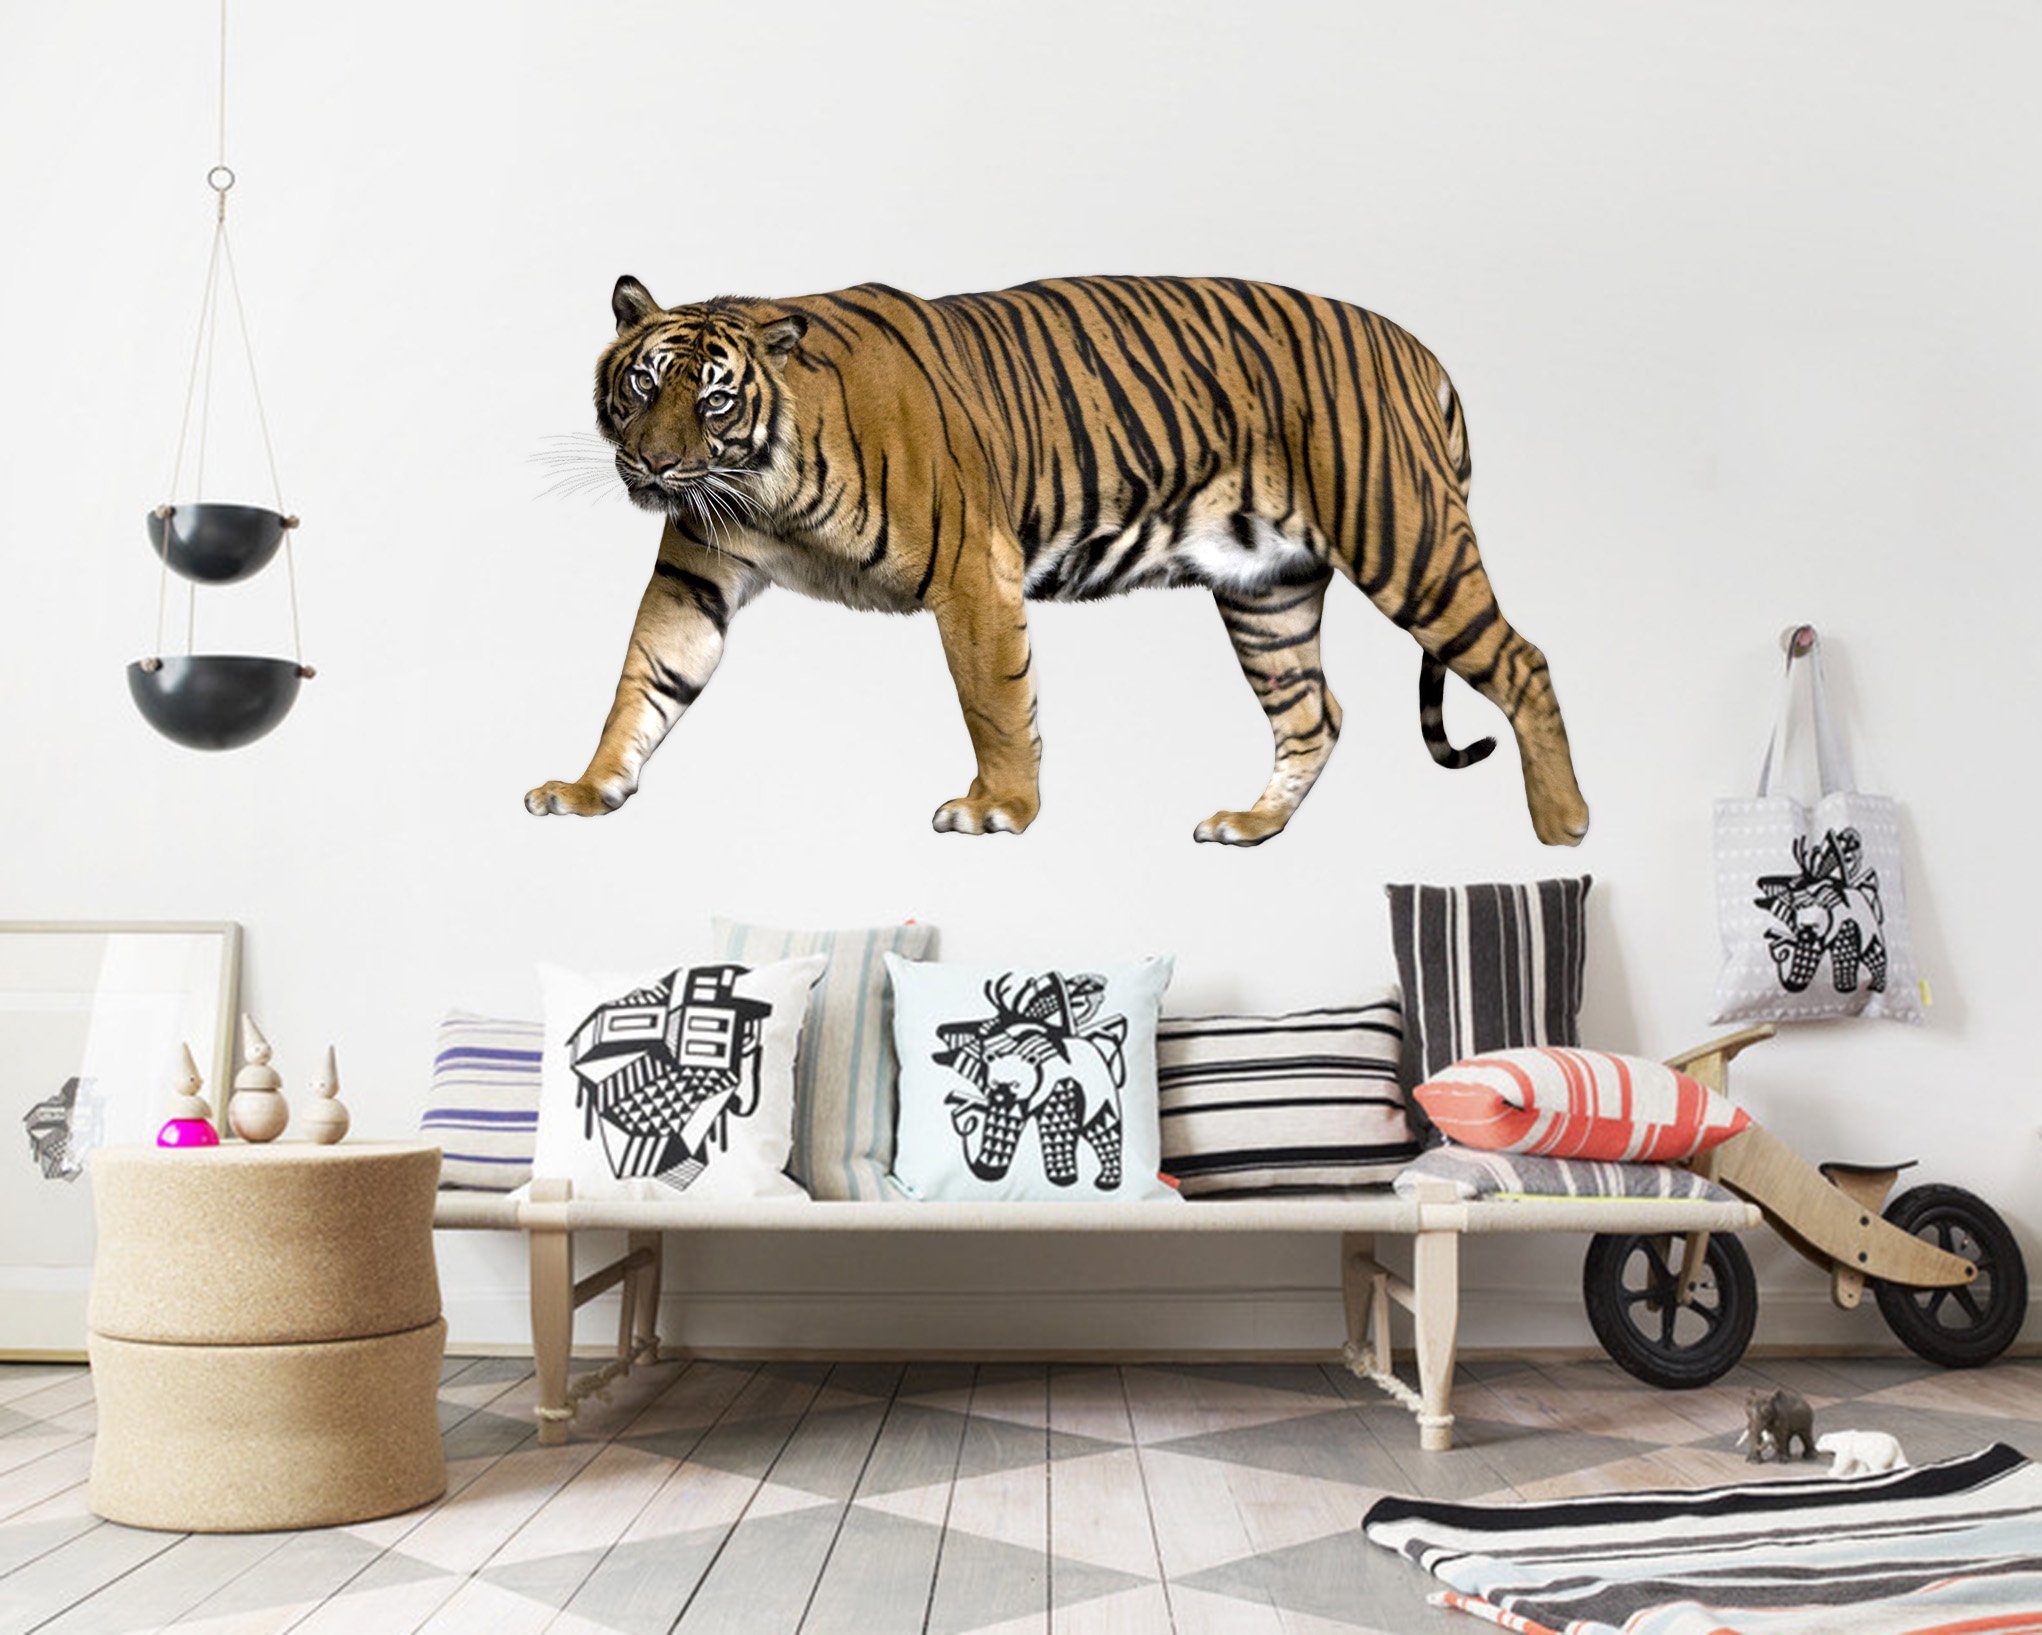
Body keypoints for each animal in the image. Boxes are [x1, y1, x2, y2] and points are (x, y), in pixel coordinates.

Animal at [526, 275, 1588, 846]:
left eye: (711, 399)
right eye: (641, 384)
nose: (653, 464)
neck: (761, 485)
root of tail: (1417, 346)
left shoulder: (972, 570)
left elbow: (994, 700)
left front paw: (999, 807)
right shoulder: (695, 574)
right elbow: (644, 681)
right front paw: (588, 788)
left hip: (1406, 540)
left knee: (1524, 659)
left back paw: (1565, 824)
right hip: (1268, 591)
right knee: (1313, 713)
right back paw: (1250, 826)